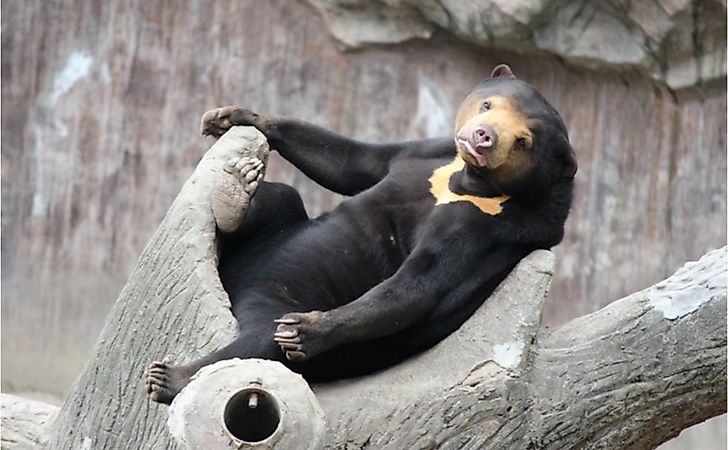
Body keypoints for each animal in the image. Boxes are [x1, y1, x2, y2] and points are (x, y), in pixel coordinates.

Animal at [145, 64, 577, 404]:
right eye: (488, 106)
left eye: (524, 141)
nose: (484, 136)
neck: (468, 182)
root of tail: (241, 292)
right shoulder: (428, 151)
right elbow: (352, 160)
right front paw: (226, 116)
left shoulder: (484, 230)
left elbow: (418, 285)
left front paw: (310, 330)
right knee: (283, 197)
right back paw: (235, 190)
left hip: (279, 311)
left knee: (261, 343)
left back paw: (167, 378)